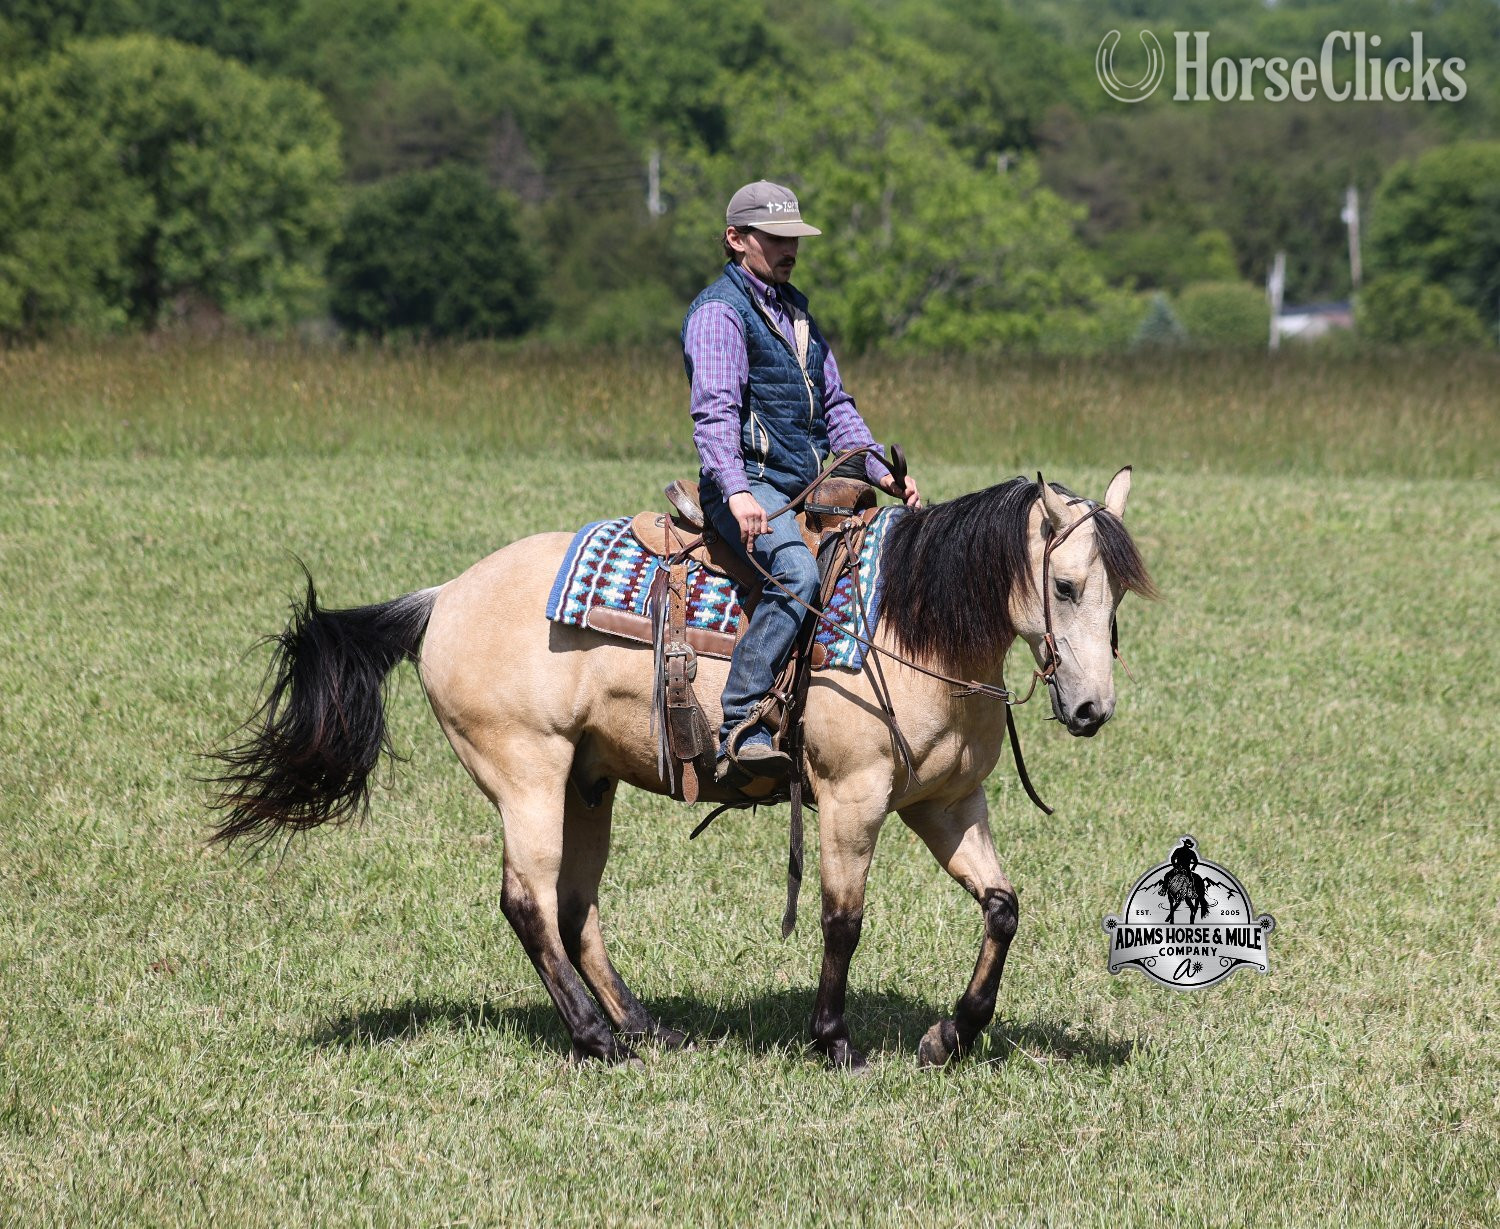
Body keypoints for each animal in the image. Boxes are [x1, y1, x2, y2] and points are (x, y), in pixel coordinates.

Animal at [210, 466, 1155, 1069]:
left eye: (1116, 593)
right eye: (1065, 585)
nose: (1091, 709)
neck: (909, 622)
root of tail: (440, 597)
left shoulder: (947, 800)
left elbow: (1002, 906)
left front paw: (950, 1035)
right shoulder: (852, 799)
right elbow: (842, 920)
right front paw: (834, 1040)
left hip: (586, 784)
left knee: (575, 908)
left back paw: (645, 1028)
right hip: (526, 775)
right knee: (528, 902)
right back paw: (596, 1040)